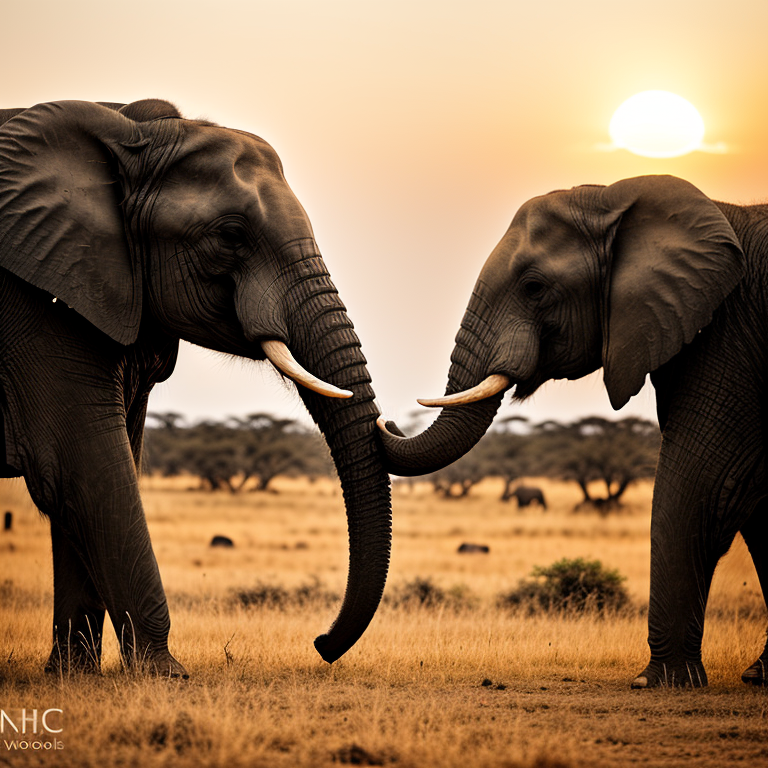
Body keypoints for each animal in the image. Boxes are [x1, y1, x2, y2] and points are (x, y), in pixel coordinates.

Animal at [0, 99, 392, 676]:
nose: (321, 643)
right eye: (229, 236)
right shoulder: (33, 305)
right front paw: (164, 675)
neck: (128, 134)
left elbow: (86, 480)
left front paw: (73, 677)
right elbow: (80, 467)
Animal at [378, 175, 768, 688]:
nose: (386, 419)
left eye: (534, 287)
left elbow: (709, 481)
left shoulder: (729, 338)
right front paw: (755, 676)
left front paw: (658, 682)